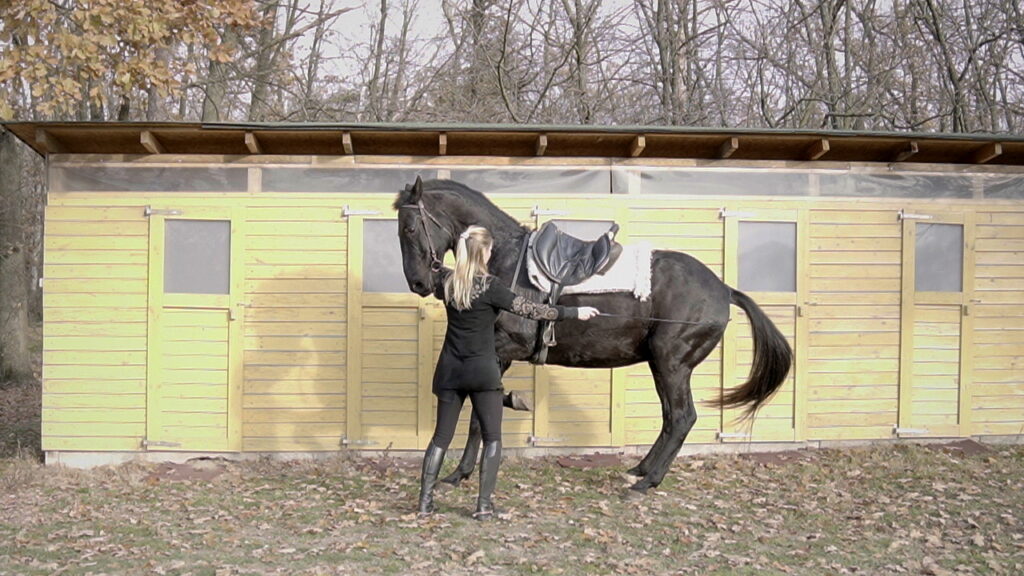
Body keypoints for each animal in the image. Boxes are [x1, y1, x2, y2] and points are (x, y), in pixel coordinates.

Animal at [393, 177, 792, 495]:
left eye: (409, 229)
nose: (418, 284)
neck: (505, 262)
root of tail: (723, 289)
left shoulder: (504, 349)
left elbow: (480, 411)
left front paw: (459, 472)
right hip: (662, 365)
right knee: (669, 417)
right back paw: (640, 470)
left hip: (672, 363)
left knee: (682, 418)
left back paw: (647, 483)